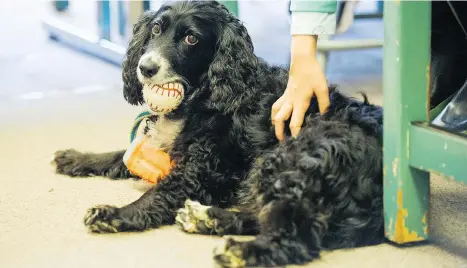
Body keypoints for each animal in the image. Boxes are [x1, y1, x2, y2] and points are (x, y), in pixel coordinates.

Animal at [53, 1, 386, 266]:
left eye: (191, 38)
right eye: (157, 29)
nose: (145, 68)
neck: (206, 94)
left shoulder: (199, 172)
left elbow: (156, 195)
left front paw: (114, 214)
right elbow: (119, 155)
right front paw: (76, 158)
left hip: (293, 158)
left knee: (295, 238)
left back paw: (241, 251)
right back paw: (207, 218)